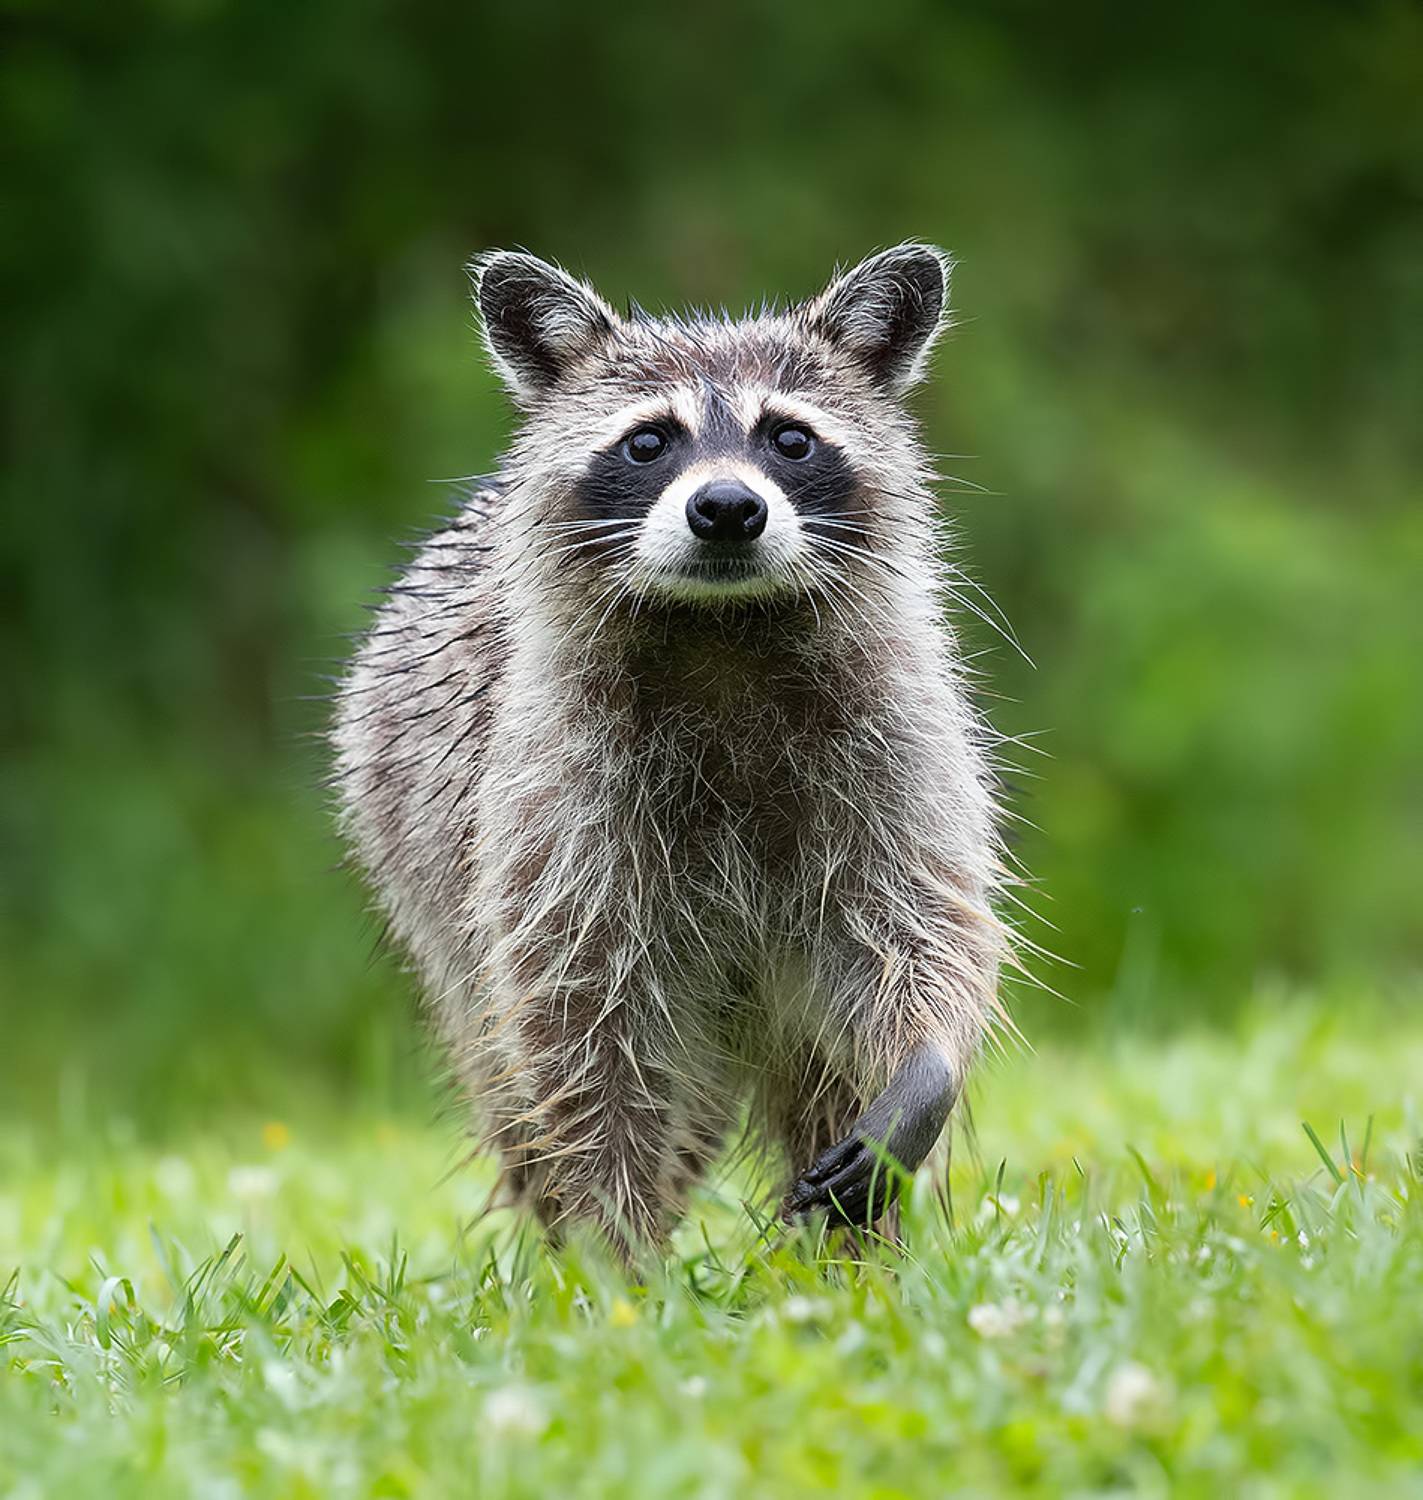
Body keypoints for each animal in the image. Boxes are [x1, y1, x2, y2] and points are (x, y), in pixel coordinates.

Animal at [334, 244, 1012, 1255]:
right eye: (648, 442)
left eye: (790, 439)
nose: (726, 507)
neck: (722, 631)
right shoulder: (549, 800)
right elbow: (579, 1029)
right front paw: (613, 1259)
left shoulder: (899, 743)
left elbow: (927, 930)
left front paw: (923, 1064)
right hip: (419, 866)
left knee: (822, 1076)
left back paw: (858, 1264)